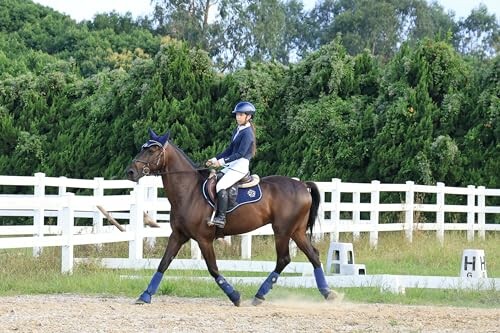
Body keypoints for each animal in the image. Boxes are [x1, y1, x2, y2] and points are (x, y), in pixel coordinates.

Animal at [126, 128, 340, 304]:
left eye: (152, 150)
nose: (130, 172)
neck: (189, 191)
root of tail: (302, 185)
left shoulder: (204, 239)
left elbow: (213, 269)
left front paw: (235, 296)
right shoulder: (178, 235)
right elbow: (163, 264)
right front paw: (145, 295)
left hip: (282, 231)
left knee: (284, 259)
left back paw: (259, 295)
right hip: (296, 231)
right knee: (313, 255)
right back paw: (328, 293)